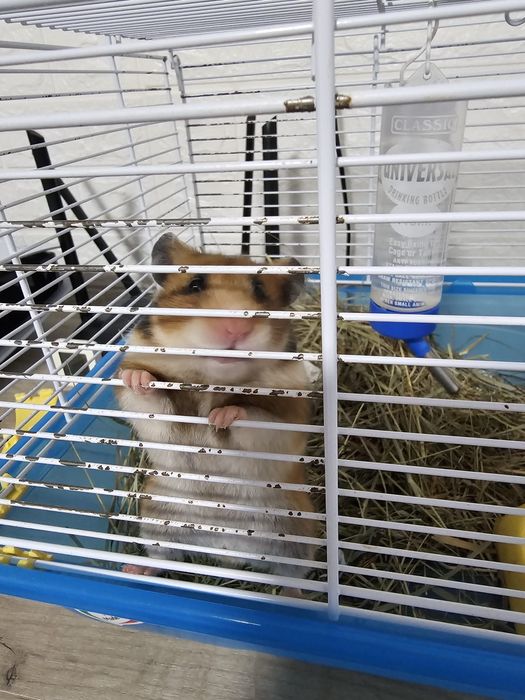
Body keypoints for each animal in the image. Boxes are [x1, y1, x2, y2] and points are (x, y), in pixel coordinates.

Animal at [115, 233, 318, 591]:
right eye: (195, 284)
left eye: (259, 289)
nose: (234, 329)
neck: (211, 377)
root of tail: (225, 553)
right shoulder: (155, 416)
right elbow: (148, 398)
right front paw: (138, 379)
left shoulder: (289, 417)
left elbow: (254, 418)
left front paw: (220, 417)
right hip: (157, 515)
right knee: (161, 556)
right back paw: (133, 569)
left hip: (297, 532)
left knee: (294, 573)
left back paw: (296, 595)